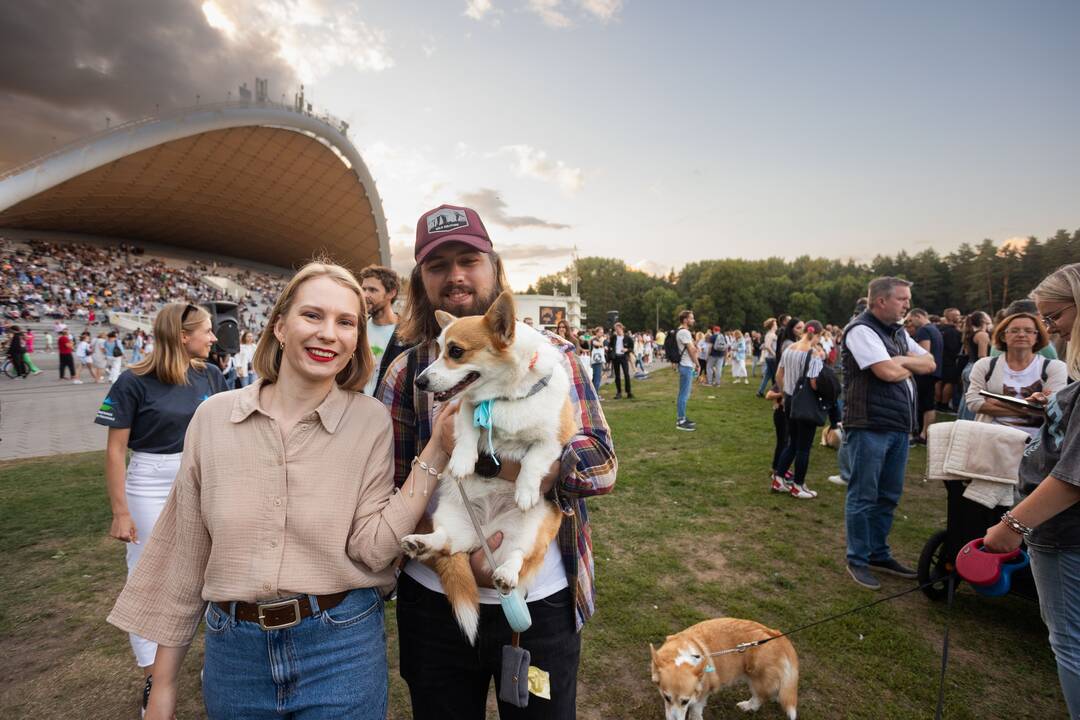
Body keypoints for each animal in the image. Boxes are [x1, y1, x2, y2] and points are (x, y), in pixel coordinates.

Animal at [401, 289, 578, 643]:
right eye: (438, 349)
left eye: (456, 351)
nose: (420, 381)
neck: (503, 397)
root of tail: (484, 532)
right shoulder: (465, 409)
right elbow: (468, 430)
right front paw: (461, 461)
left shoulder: (555, 439)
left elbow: (534, 461)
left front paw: (525, 490)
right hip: (451, 517)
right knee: (445, 544)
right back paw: (421, 542)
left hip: (532, 531)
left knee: (517, 556)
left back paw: (507, 573)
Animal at [648, 617, 803, 720]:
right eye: (666, 698)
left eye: (685, 701)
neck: (685, 657)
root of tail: (777, 635)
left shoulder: (702, 695)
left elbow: (696, 710)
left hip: (757, 679)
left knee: (759, 697)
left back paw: (747, 706)